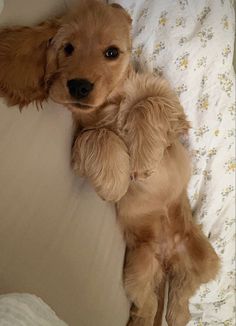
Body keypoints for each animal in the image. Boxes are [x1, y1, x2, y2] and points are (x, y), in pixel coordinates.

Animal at [0, 1, 219, 324]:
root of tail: (169, 257)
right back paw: (153, 317)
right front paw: (116, 182)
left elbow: (147, 104)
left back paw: (178, 313)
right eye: (68, 48)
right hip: (139, 267)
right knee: (150, 301)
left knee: (184, 285)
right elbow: (100, 137)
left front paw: (142, 157)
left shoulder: (172, 112)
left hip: (205, 257)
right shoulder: (81, 142)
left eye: (112, 53)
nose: (79, 86)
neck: (111, 105)